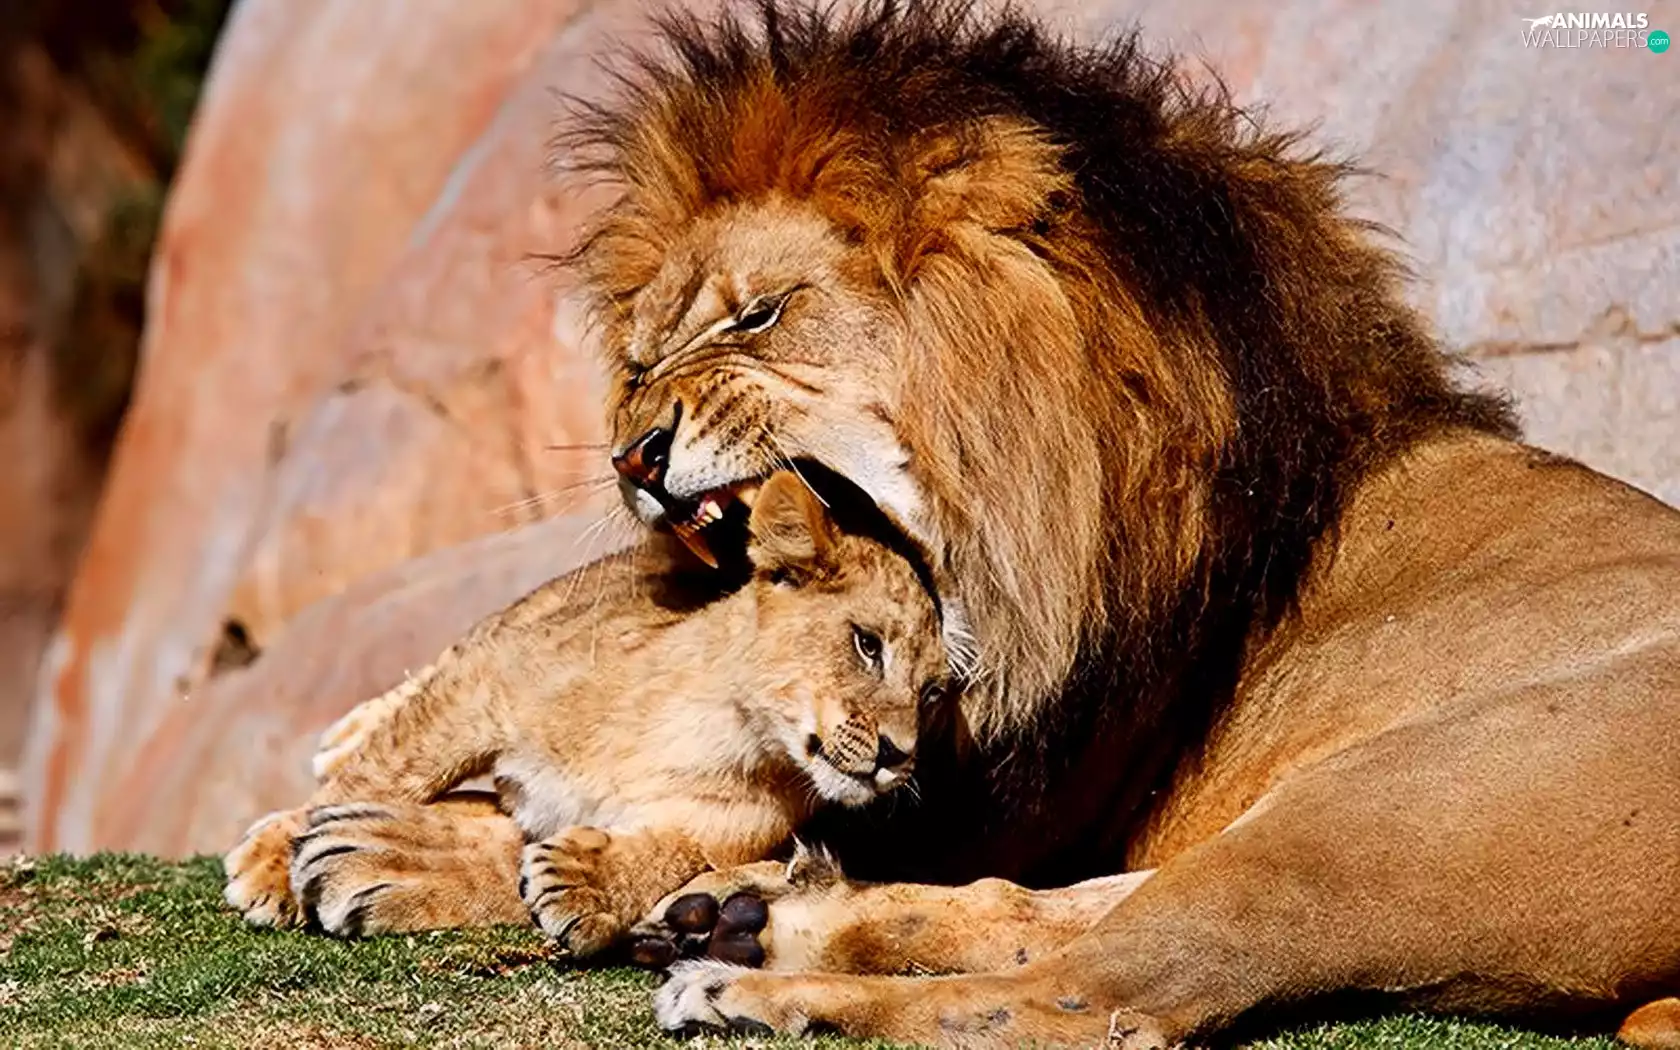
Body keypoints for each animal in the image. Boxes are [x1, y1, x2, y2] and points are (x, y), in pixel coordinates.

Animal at [223, 470, 948, 959]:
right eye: (867, 644)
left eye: (932, 694)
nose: (899, 756)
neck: (730, 734)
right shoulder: (486, 688)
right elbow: (390, 769)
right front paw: (276, 861)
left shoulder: (729, 828)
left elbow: (672, 853)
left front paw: (583, 884)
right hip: (513, 627)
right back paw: (342, 740)